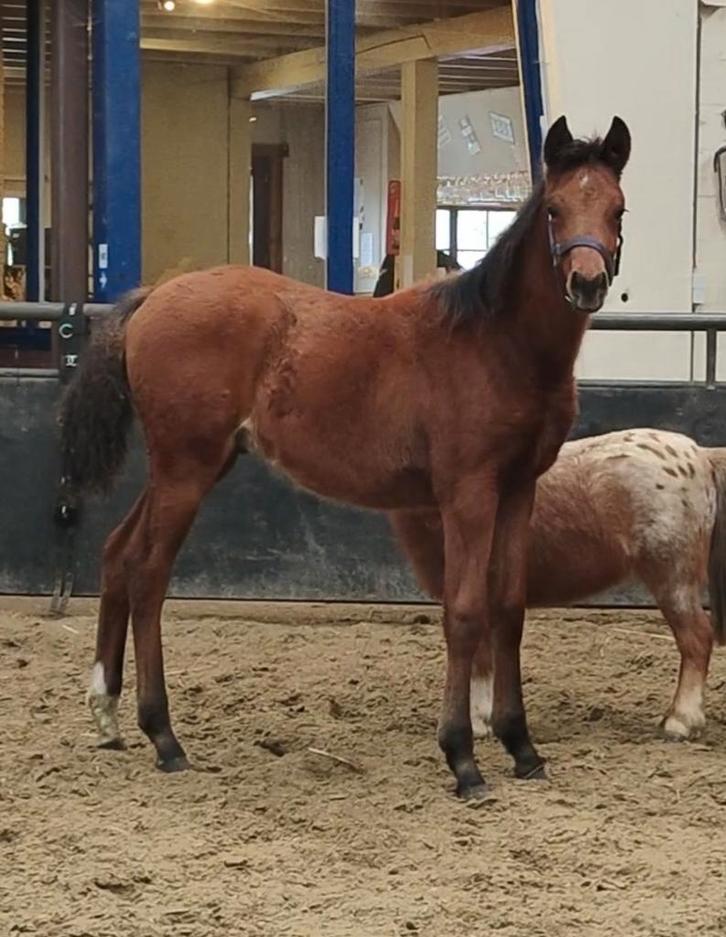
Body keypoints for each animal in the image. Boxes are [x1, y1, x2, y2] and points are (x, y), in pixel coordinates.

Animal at [59, 115, 631, 799]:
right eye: (553, 209)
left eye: (618, 209)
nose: (586, 283)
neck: (495, 343)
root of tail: (154, 296)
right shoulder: (467, 494)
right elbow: (466, 611)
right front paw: (463, 758)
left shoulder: (519, 489)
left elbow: (509, 608)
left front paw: (521, 746)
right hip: (185, 470)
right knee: (148, 572)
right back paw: (164, 737)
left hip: (193, 465)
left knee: (119, 553)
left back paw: (107, 712)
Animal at [393, 428, 726, 743]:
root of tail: (700, 456)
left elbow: (478, 659)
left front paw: (475, 723)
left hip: (672, 575)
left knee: (696, 639)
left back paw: (680, 721)